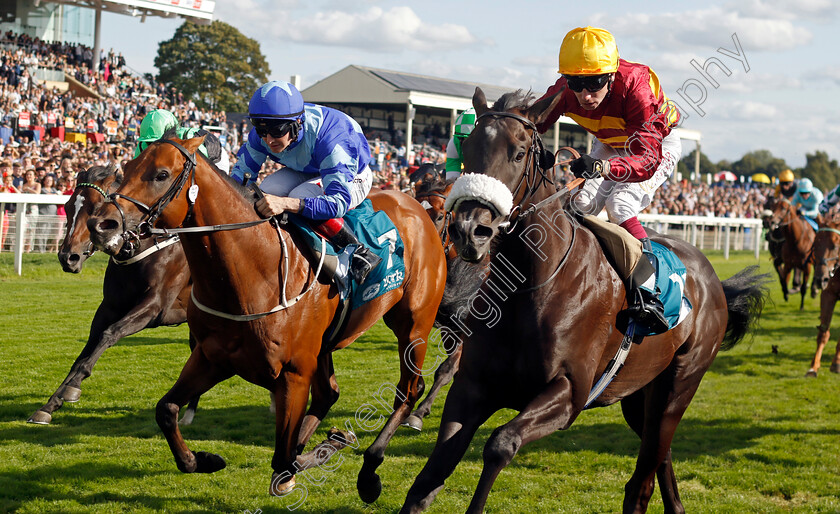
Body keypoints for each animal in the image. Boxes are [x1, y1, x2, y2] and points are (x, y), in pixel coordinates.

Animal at [27, 164, 200, 424]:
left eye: (95, 209)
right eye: (67, 206)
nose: (68, 257)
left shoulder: (154, 307)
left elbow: (111, 333)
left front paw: (73, 388)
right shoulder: (109, 307)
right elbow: (86, 350)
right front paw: (49, 405)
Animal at [87, 136, 446, 500]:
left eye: (160, 174)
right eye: (126, 168)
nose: (101, 224)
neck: (254, 271)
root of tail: (417, 207)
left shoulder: (293, 373)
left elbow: (283, 461)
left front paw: (325, 449)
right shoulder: (213, 357)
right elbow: (166, 410)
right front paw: (201, 459)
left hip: (414, 325)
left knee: (409, 389)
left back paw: (370, 470)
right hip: (324, 346)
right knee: (329, 394)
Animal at [400, 86, 768, 510]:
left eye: (519, 153)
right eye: (468, 148)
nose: (469, 230)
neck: (530, 284)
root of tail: (714, 281)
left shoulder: (569, 393)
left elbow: (500, 443)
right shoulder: (473, 385)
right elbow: (431, 473)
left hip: (678, 386)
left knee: (643, 477)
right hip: (638, 397)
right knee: (661, 456)